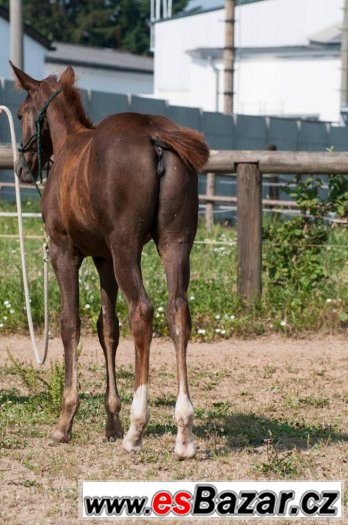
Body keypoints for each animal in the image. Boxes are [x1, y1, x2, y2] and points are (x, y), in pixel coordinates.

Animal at [11, 62, 209, 458]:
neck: (70, 144)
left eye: (22, 113)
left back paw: (137, 427)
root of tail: (155, 136)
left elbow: (70, 324)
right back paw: (183, 432)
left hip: (126, 248)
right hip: (175, 245)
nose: (22, 168)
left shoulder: (65, 253)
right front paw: (111, 420)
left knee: (142, 311)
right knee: (177, 311)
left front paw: (66, 422)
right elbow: (108, 330)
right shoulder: (103, 259)